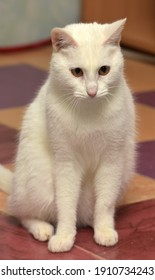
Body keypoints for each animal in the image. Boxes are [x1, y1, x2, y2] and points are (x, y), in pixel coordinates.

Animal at [0, 18, 136, 253]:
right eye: (77, 72)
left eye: (104, 70)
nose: (92, 91)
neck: (89, 110)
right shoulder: (66, 162)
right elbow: (65, 204)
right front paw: (64, 237)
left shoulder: (112, 160)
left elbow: (105, 203)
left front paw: (104, 230)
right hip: (39, 185)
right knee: (21, 213)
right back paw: (43, 229)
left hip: (121, 175)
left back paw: (92, 223)